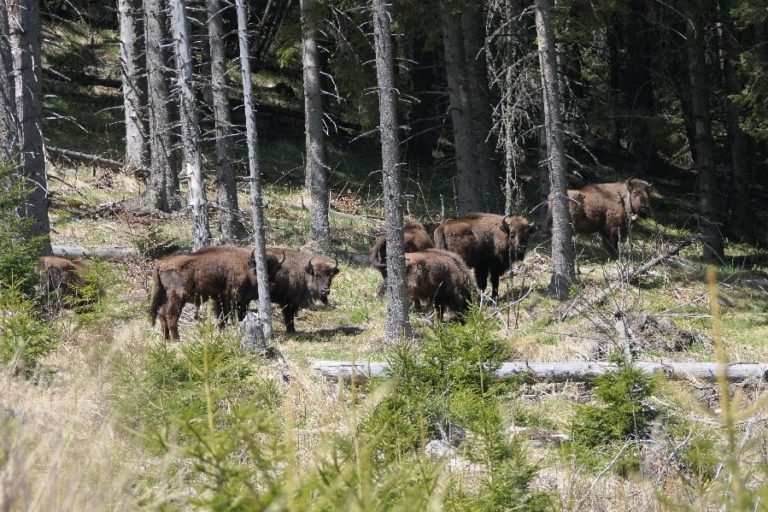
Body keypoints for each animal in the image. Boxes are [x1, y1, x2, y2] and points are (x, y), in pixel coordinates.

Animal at [148, 245, 284, 340]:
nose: (271, 284)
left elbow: (223, 317)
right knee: (170, 315)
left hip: (164, 295)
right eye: (262, 269)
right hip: (177, 296)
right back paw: (176, 339)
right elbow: (229, 315)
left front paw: (222, 332)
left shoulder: (222, 299)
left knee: (161, 313)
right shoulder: (233, 299)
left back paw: (166, 339)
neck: (247, 265)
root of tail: (161, 263)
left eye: (276, 269)